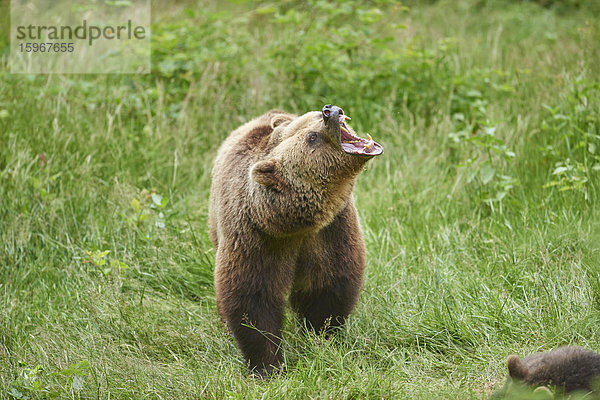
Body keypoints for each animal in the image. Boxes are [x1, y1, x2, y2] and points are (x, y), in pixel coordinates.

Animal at [209, 104, 382, 376]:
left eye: (315, 118)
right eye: (312, 137)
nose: (329, 110)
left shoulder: (330, 232)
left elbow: (328, 284)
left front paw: (321, 338)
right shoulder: (257, 237)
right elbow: (253, 295)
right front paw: (268, 366)